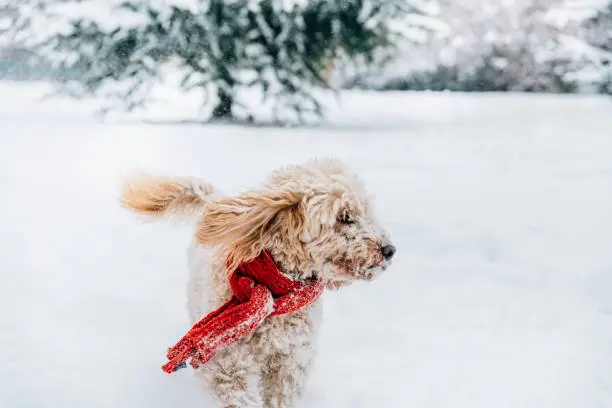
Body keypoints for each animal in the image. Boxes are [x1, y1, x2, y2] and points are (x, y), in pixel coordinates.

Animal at [120, 159, 396, 408]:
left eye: (366, 213)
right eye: (344, 217)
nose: (389, 250)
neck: (276, 294)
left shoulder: (290, 363)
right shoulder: (225, 366)